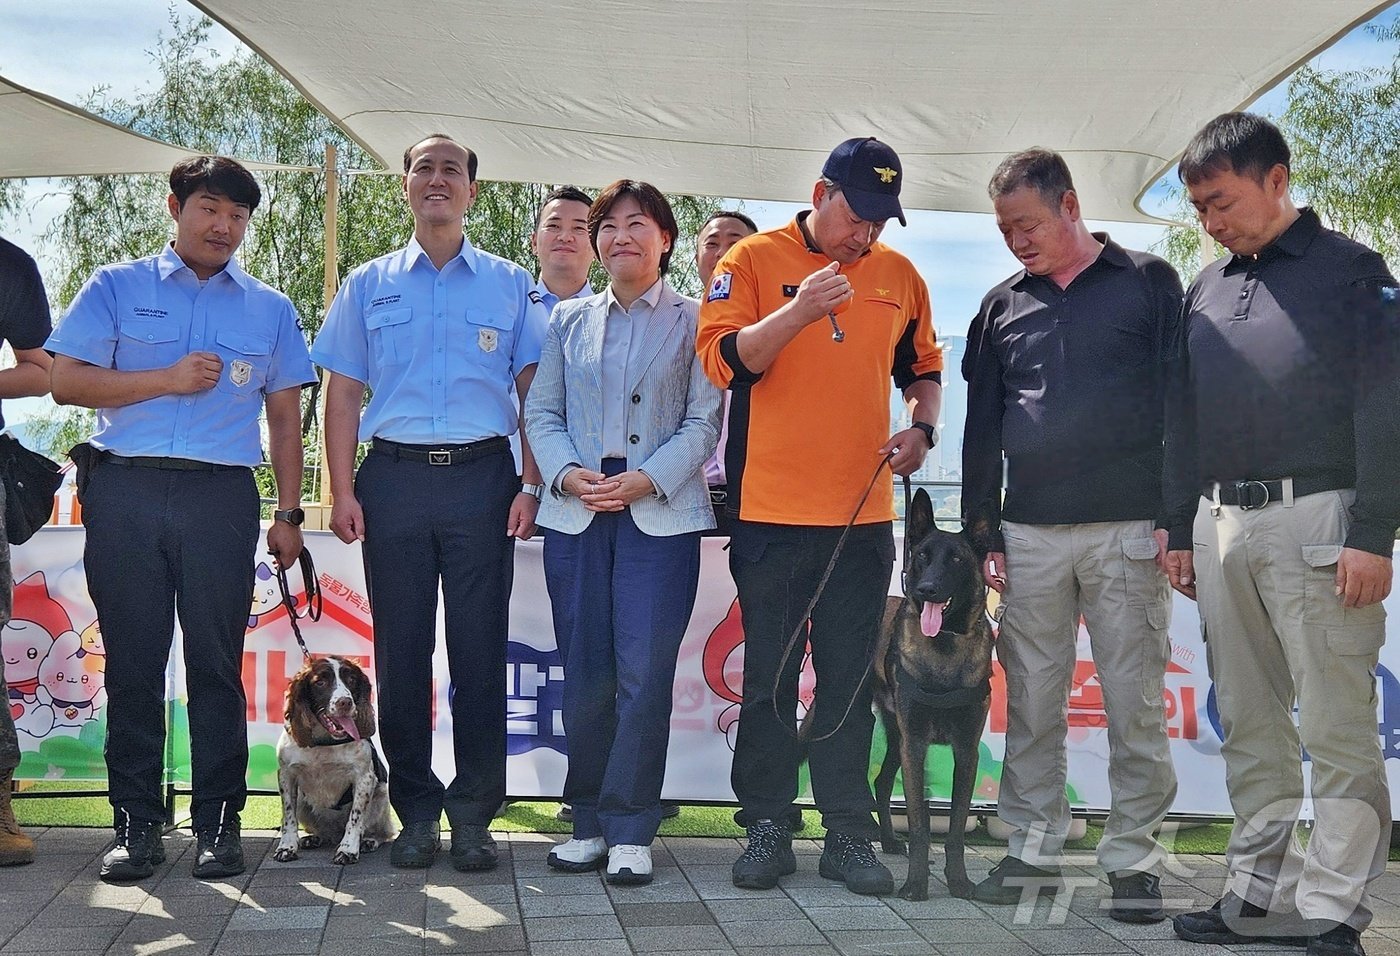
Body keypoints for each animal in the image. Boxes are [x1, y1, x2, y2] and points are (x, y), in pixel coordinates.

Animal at [271, 657, 394, 867]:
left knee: (383, 832)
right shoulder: (287, 775)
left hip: (380, 796)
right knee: (321, 832)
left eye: (351, 679)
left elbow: (355, 818)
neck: (324, 741)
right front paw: (287, 847)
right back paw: (313, 839)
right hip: (303, 800)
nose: (345, 702)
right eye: (320, 682)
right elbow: (288, 815)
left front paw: (348, 850)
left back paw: (369, 840)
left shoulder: (365, 778)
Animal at [873, 489, 996, 901]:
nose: (925, 589)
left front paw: (958, 880)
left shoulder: (966, 751)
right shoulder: (915, 746)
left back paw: (889, 840)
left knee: (881, 782)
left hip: (896, 739)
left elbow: (956, 827)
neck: (944, 644)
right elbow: (920, 823)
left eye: (956, 558)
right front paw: (915, 884)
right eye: (922, 556)